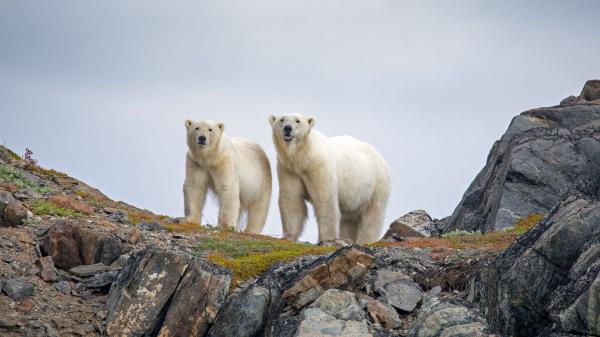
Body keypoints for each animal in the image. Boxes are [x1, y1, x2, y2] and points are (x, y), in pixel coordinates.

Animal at [270, 114, 392, 243]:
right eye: (282, 119)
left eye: (297, 121)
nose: (287, 128)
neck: (304, 156)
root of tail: (380, 157)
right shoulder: (289, 169)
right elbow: (292, 199)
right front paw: (288, 236)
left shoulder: (320, 166)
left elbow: (325, 201)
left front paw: (327, 238)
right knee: (349, 220)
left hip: (376, 185)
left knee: (372, 216)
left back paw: (366, 240)